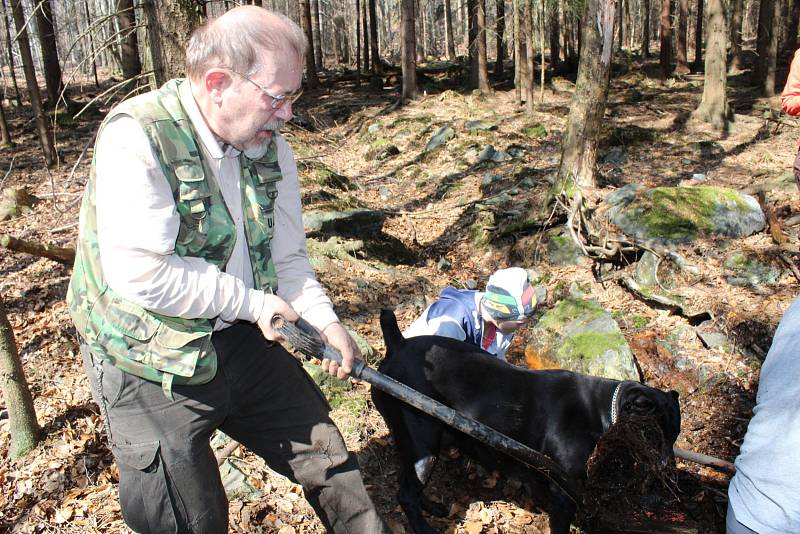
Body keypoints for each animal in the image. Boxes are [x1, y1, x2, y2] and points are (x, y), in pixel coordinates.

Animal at [372, 310, 680, 534]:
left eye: (675, 436)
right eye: (654, 436)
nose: (667, 469)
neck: (604, 409)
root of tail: (398, 344)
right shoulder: (564, 492)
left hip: (414, 445)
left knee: (407, 482)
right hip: (423, 443)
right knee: (406, 495)